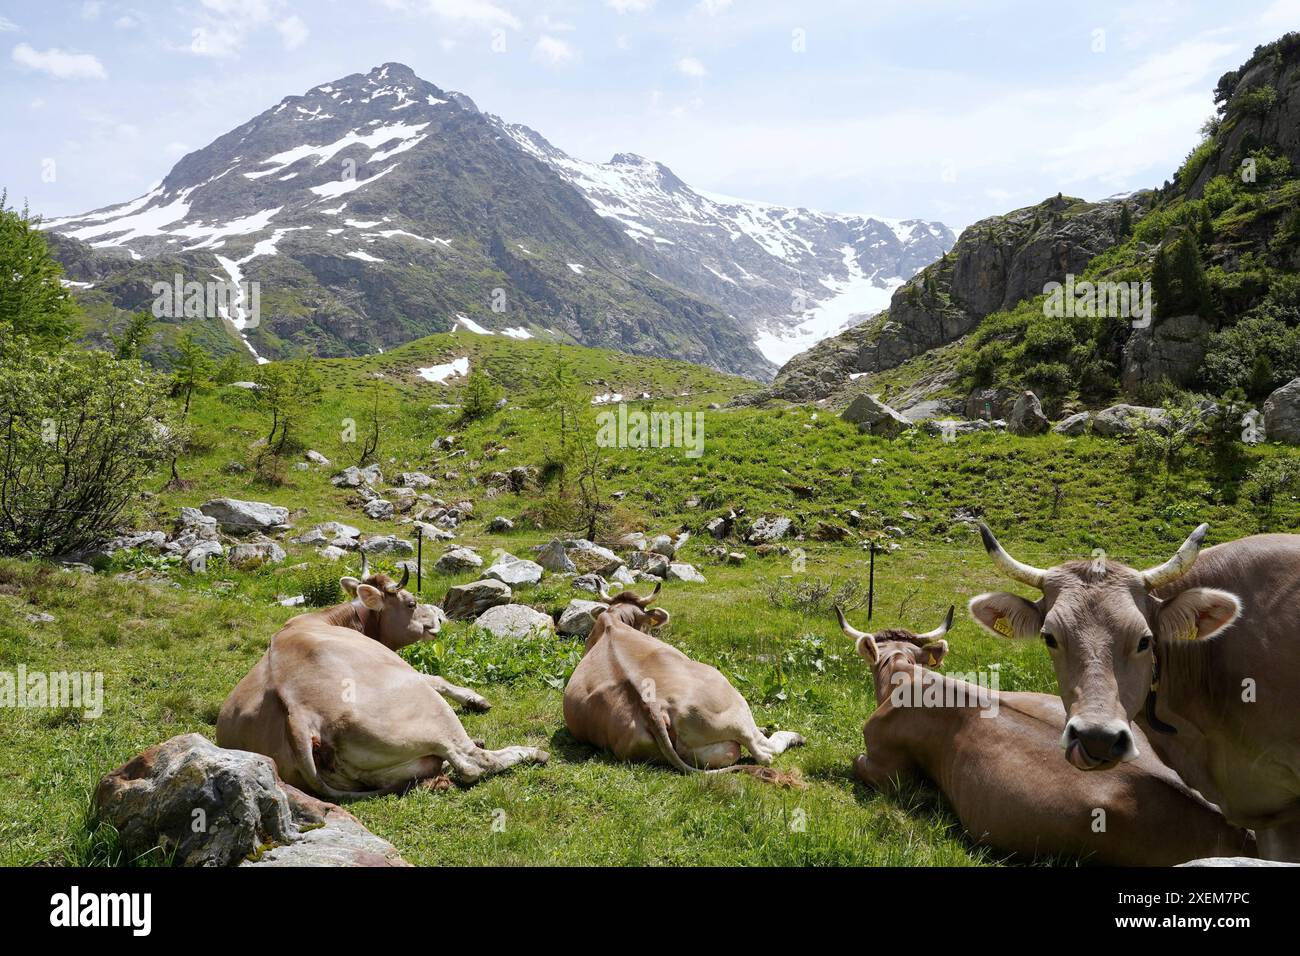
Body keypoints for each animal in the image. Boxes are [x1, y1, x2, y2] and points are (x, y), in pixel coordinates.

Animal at [216, 556, 548, 799]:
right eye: (411, 603)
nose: (439, 619)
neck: (327, 620)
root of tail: (299, 714)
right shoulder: (405, 669)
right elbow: (436, 677)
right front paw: (475, 698)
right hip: (431, 711)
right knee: (472, 763)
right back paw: (531, 752)